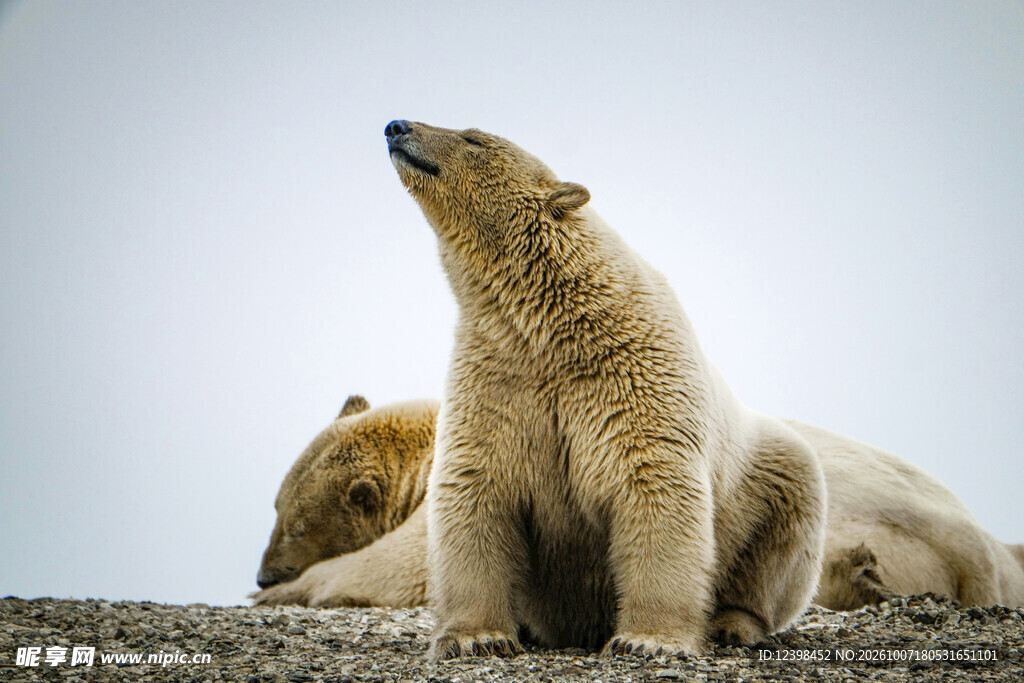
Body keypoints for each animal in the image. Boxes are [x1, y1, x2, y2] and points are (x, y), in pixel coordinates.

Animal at [252, 397, 1024, 612]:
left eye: (292, 521)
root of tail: (972, 541)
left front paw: (294, 591)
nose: (263, 571)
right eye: (275, 505)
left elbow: (409, 562)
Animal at [383, 120, 829, 659]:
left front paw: (648, 640)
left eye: (474, 138)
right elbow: (475, 486)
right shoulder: (498, 379)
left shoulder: (633, 378)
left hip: (767, 475)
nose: (396, 126)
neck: (551, 327)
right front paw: (477, 638)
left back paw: (732, 623)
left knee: (782, 532)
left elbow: (653, 486)